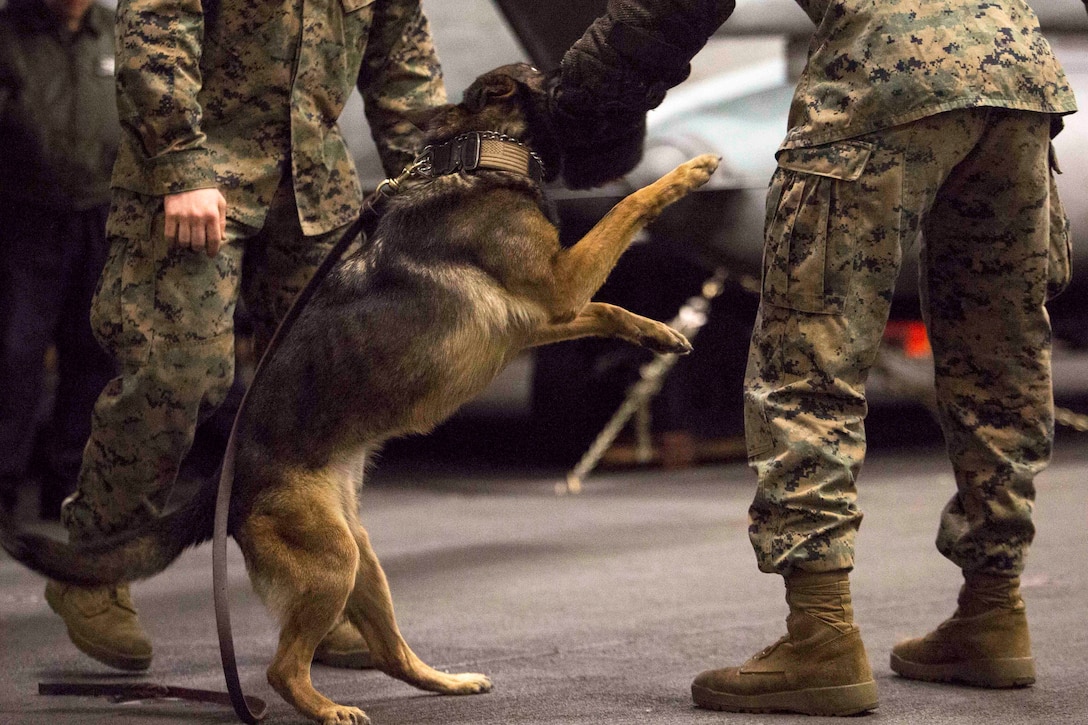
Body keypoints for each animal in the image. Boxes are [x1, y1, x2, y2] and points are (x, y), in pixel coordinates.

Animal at [2, 63, 722, 722]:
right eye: (568, 80)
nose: (655, 88)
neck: (480, 152)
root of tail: (225, 481)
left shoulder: (544, 315)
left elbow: (609, 308)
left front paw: (660, 333)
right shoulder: (560, 286)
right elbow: (627, 212)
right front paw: (689, 174)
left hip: (362, 561)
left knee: (390, 651)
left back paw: (447, 681)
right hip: (334, 561)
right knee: (281, 667)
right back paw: (325, 708)